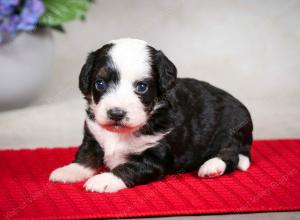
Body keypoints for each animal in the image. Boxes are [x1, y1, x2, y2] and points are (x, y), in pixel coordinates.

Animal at [49, 38, 253, 192]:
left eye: (141, 87)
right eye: (100, 83)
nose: (116, 113)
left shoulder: (155, 157)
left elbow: (128, 167)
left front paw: (104, 180)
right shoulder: (93, 135)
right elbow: (86, 155)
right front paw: (69, 171)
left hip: (231, 132)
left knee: (231, 155)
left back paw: (212, 166)